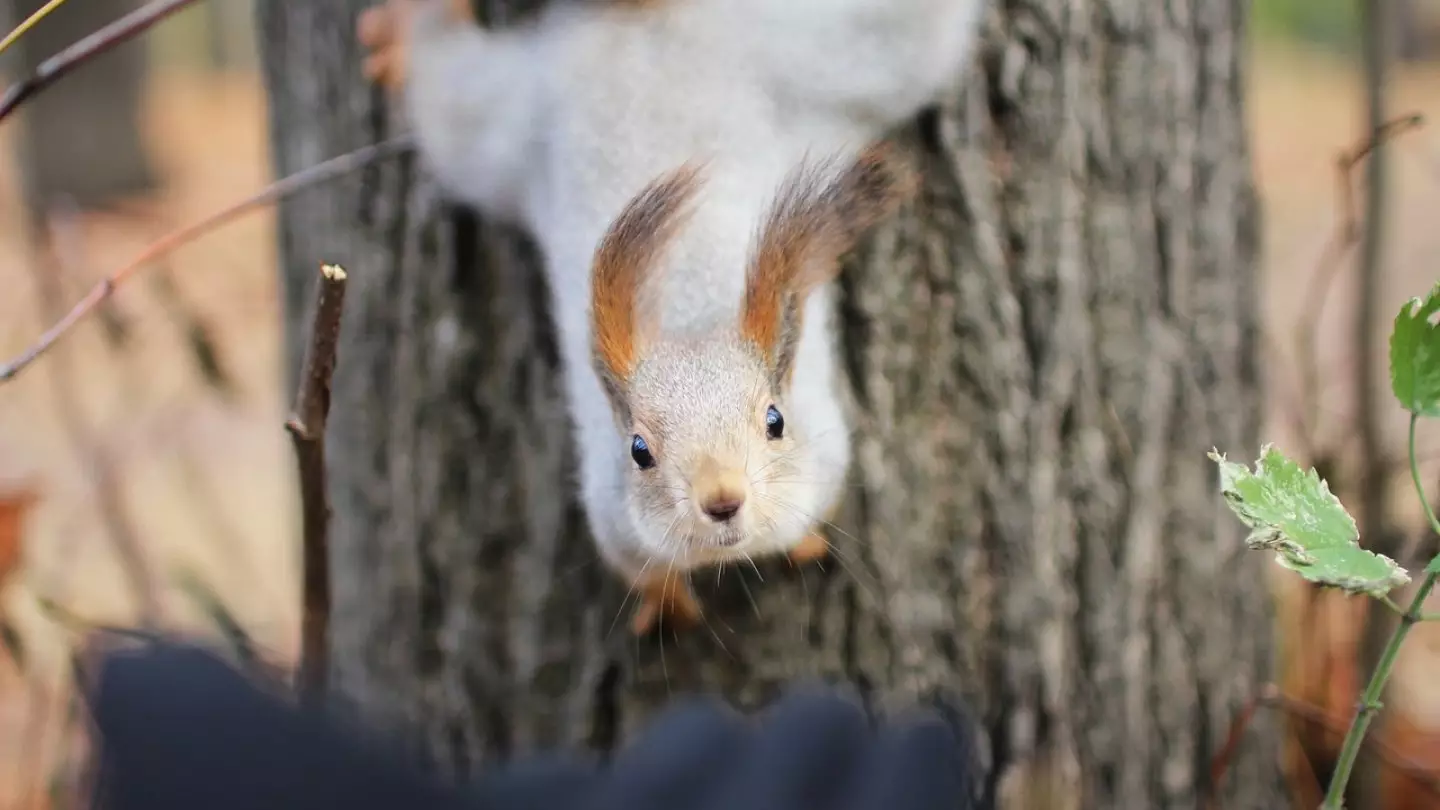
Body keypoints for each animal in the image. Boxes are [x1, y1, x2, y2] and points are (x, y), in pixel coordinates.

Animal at [360, 0, 990, 634]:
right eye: (640, 451)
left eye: (775, 421)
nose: (722, 499)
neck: (689, 322)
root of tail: (643, 27)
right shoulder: (611, 515)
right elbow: (643, 570)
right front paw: (666, 600)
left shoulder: (828, 452)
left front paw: (804, 542)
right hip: (521, 117)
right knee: (451, 103)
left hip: (819, 58)